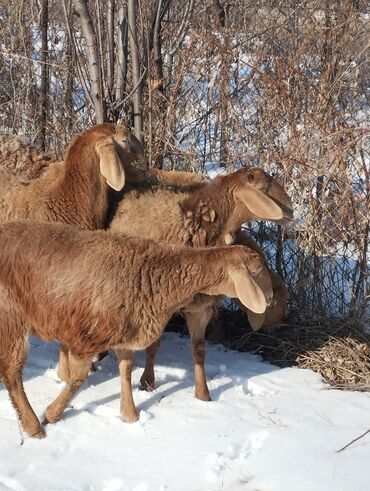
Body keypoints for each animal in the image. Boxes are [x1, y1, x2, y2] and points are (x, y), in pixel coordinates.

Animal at [0, 221, 272, 440]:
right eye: (257, 271)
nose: (269, 299)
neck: (155, 274)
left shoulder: (126, 331)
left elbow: (126, 369)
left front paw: (129, 414)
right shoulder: (85, 336)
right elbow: (78, 379)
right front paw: (52, 414)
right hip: (11, 316)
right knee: (12, 371)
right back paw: (34, 426)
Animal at [108, 167, 294, 402]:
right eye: (263, 188)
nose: (291, 210)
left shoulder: (201, 306)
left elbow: (199, 350)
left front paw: (203, 395)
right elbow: (154, 344)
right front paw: (148, 381)